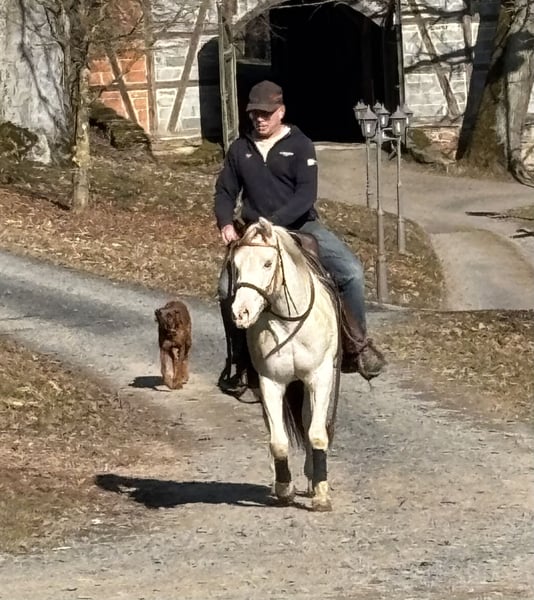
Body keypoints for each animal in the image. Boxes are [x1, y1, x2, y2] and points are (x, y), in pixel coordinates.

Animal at [230, 217, 340, 511]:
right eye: (235, 264)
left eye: (268, 263)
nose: (241, 313)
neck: (288, 321)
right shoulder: (270, 382)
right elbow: (278, 440)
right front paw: (284, 488)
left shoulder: (320, 377)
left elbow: (316, 433)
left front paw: (321, 494)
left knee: (309, 419)